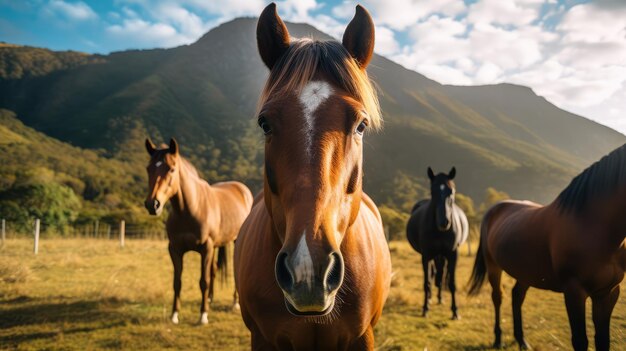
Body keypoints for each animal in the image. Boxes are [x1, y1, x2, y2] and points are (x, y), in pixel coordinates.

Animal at [145, 139, 252, 326]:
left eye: (171, 169)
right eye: (148, 168)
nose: (153, 204)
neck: (190, 209)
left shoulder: (205, 248)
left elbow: (203, 281)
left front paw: (203, 315)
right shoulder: (175, 249)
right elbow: (177, 282)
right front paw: (174, 315)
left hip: (235, 241)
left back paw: (234, 303)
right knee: (214, 270)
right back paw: (210, 299)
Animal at [408, 166, 466, 320]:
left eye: (451, 191)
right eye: (433, 192)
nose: (444, 222)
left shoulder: (452, 254)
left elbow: (451, 283)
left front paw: (455, 311)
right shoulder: (426, 255)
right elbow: (427, 282)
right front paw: (425, 308)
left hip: (441, 255)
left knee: (441, 273)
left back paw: (440, 298)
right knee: (434, 274)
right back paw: (430, 299)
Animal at [468, 144, 624, 350]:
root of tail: (493, 210)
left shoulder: (608, 293)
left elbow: (603, 340)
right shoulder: (574, 292)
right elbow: (580, 341)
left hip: (525, 272)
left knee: (517, 296)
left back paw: (522, 340)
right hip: (493, 266)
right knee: (497, 297)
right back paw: (498, 339)